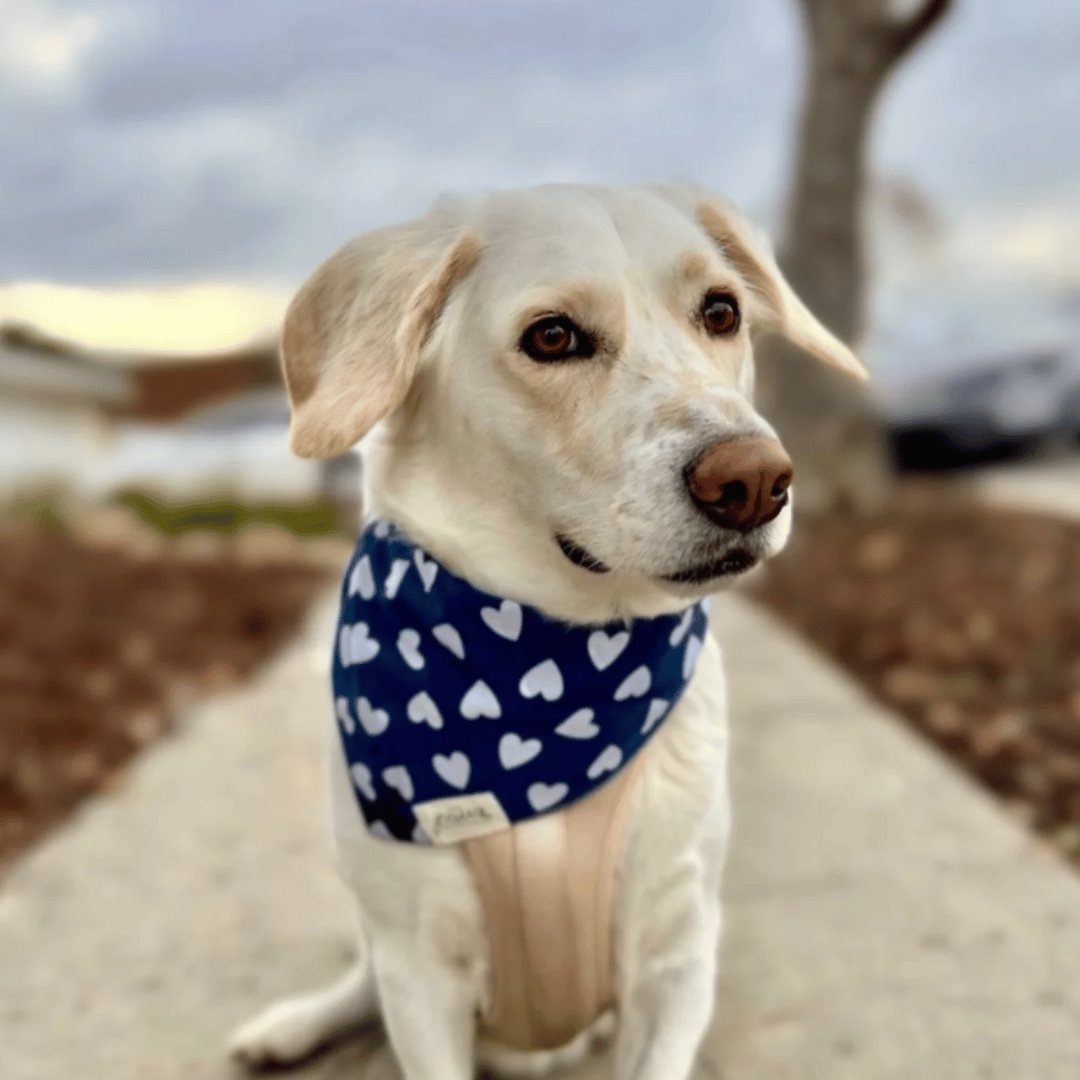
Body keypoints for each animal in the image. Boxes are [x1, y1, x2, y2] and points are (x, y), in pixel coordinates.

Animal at [227, 183, 859, 1080]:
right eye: (552, 336)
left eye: (721, 312)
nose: (754, 480)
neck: (558, 656)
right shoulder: (421, 975)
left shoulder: (674, 961)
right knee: (360, 983)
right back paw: (290, 1029)